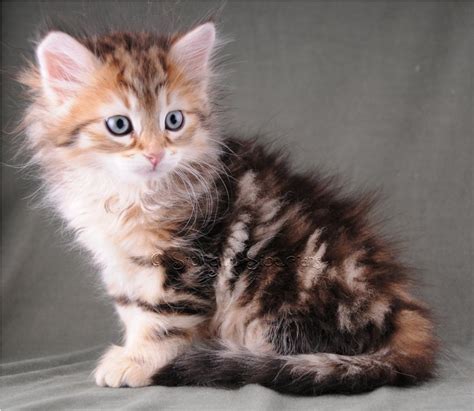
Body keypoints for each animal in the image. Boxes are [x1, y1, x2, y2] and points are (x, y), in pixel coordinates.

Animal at [19, 22, 436, 396]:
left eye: (174, 120)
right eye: (120, 125)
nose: (155, 155)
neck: (133, 196)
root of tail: (404, 315)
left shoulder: (186, 263)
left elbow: (161, 319)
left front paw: (139, 362)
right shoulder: (118, 263)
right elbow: (132, 310)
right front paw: (132, 351)